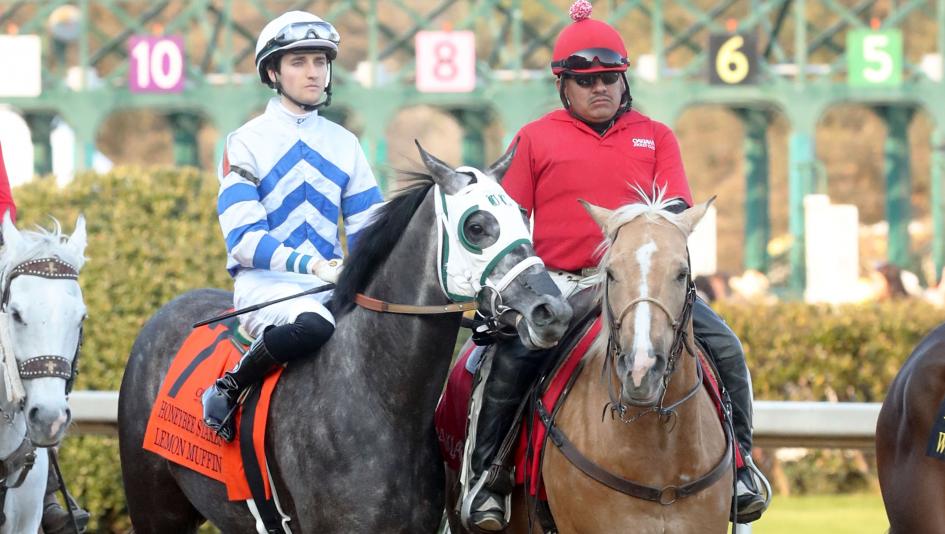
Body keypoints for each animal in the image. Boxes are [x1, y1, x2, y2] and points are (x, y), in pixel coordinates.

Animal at [119, 147, 572, 534]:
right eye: (476, 227)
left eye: (523, 215)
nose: (551, 310)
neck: (381, 402)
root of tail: (164, 310)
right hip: (155, 508)